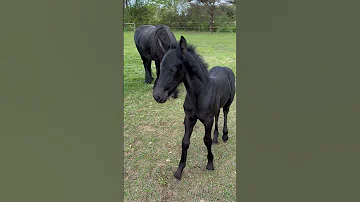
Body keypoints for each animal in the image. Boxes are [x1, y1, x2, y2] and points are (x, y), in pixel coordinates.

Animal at [153, 35, 235, 179]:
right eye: (160, 67)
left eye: (173, 69)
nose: (157, 96)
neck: (199, 93)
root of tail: (225, 67)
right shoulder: (189, 118)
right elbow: (185, 142)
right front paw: (179, 170)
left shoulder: (207, 121)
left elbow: (206, 140)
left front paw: (210, 163)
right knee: (218, 115)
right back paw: (216, 137)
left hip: (228, 102)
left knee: (225, 113)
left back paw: (224, 136)